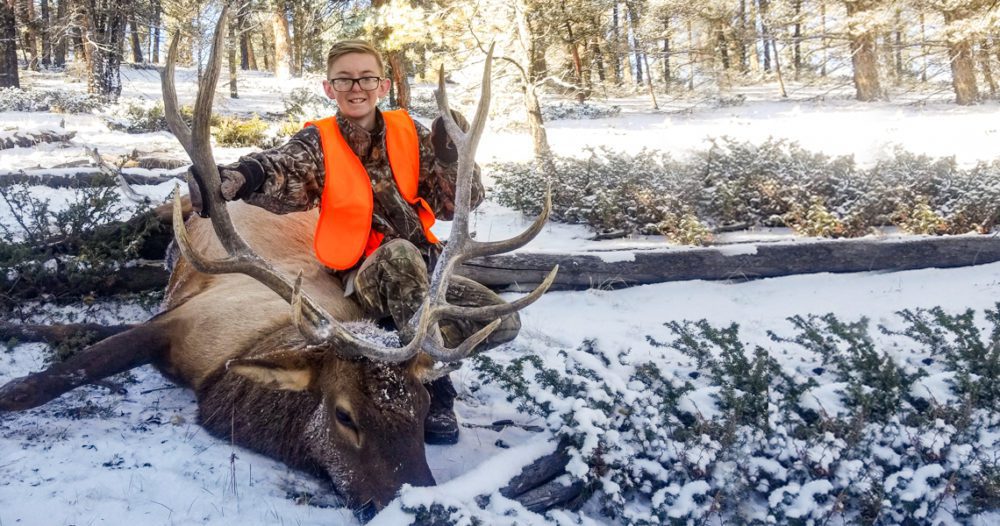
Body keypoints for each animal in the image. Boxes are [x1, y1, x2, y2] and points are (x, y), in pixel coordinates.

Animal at [0, 8, 558, 516]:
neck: (230, 362)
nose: (425, 508)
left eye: (420, 410)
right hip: (165, 214)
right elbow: (38, 382)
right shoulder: (177, 320)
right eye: (344, 415)